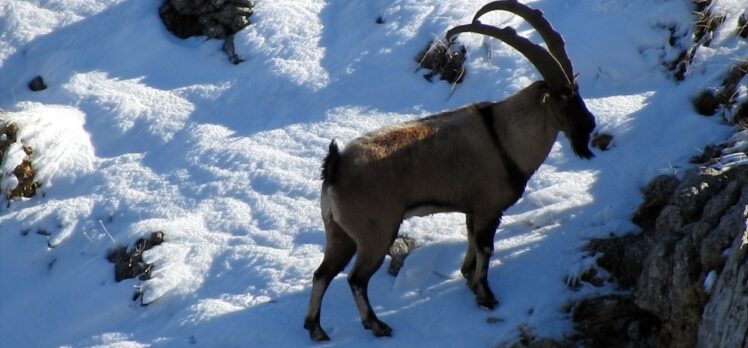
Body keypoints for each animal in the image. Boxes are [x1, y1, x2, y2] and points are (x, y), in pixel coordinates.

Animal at [302, 0, 596, 342]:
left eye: (578, 91)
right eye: (564, 100)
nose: (589, 124)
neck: (504, 136)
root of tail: (334, 166)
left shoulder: (472, 210)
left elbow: (470, 244)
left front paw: (468, 278)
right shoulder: (488, 208)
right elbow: (485, 248)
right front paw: (485, 295)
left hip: (340, 233)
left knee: (322, 274)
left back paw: (316, 329)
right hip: (376, 233)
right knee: (356, 279)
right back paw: (377, 325)